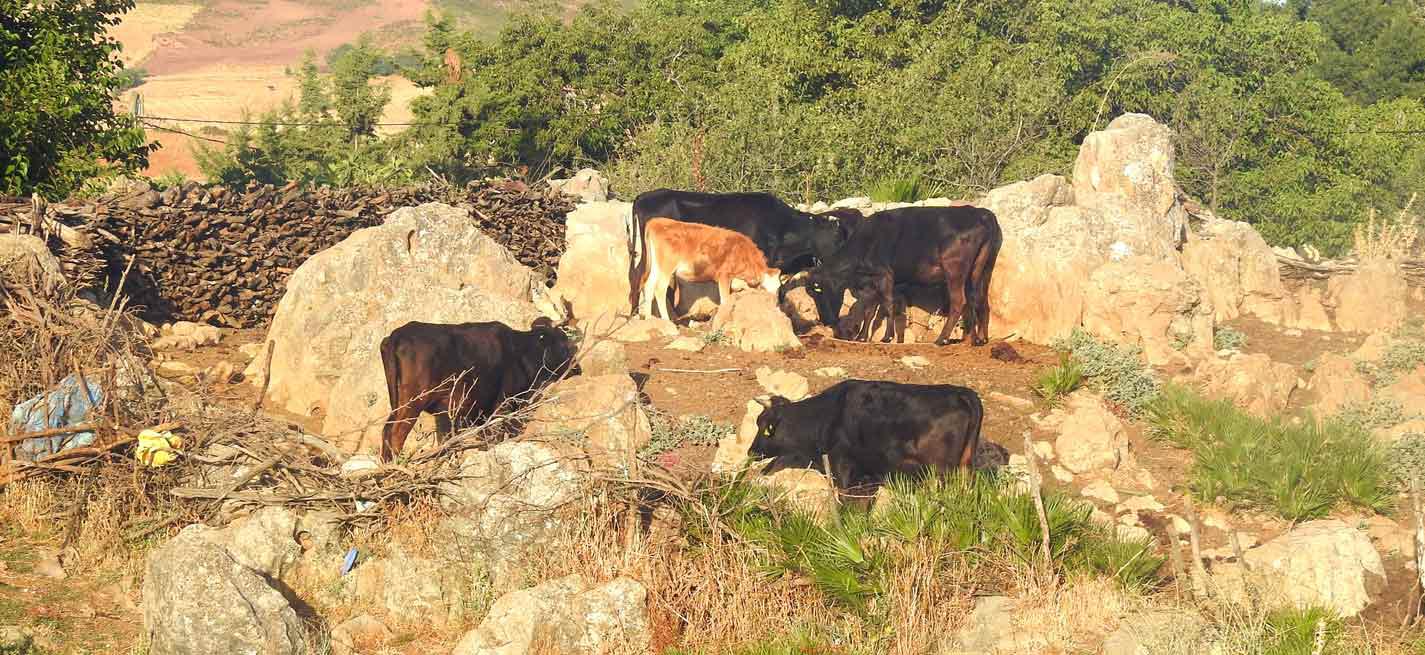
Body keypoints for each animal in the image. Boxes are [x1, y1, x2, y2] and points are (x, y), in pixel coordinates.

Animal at [381, 316, 581, 461]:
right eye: (563, 343)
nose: (576, 367)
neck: (520, 351)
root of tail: (396, 335)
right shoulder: (502, 405)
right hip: (413, 402)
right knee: (396, 434)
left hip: (398, 402)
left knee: (386, 431)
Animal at [638, 217, 786, 327]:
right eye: (765, 288)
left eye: (779, 288)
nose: (774, 304)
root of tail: (656, 221)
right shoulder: (724, 276)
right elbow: (725, 300)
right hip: (666, 268)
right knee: (660, 289)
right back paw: (666, 320)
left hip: (656, 267)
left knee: (649, 286)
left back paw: (648, 318)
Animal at [752, 375, 986, 489]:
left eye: (765, 428)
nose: (751, 451)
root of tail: (959, 392)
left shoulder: (841, 466)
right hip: (964, 467)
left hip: (941, 470)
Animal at [803, 205, 1003, 347]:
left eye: (818, 292)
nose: (825, 320)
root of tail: (981, 213)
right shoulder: (871, 283)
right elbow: (870, 310)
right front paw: (862, 337)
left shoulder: (885, 275)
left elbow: (887, 304)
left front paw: (887, 337)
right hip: (981, 269)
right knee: (979, 299)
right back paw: (979, 339)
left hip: (955, 269)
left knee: (959, 301)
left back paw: (941, 339)